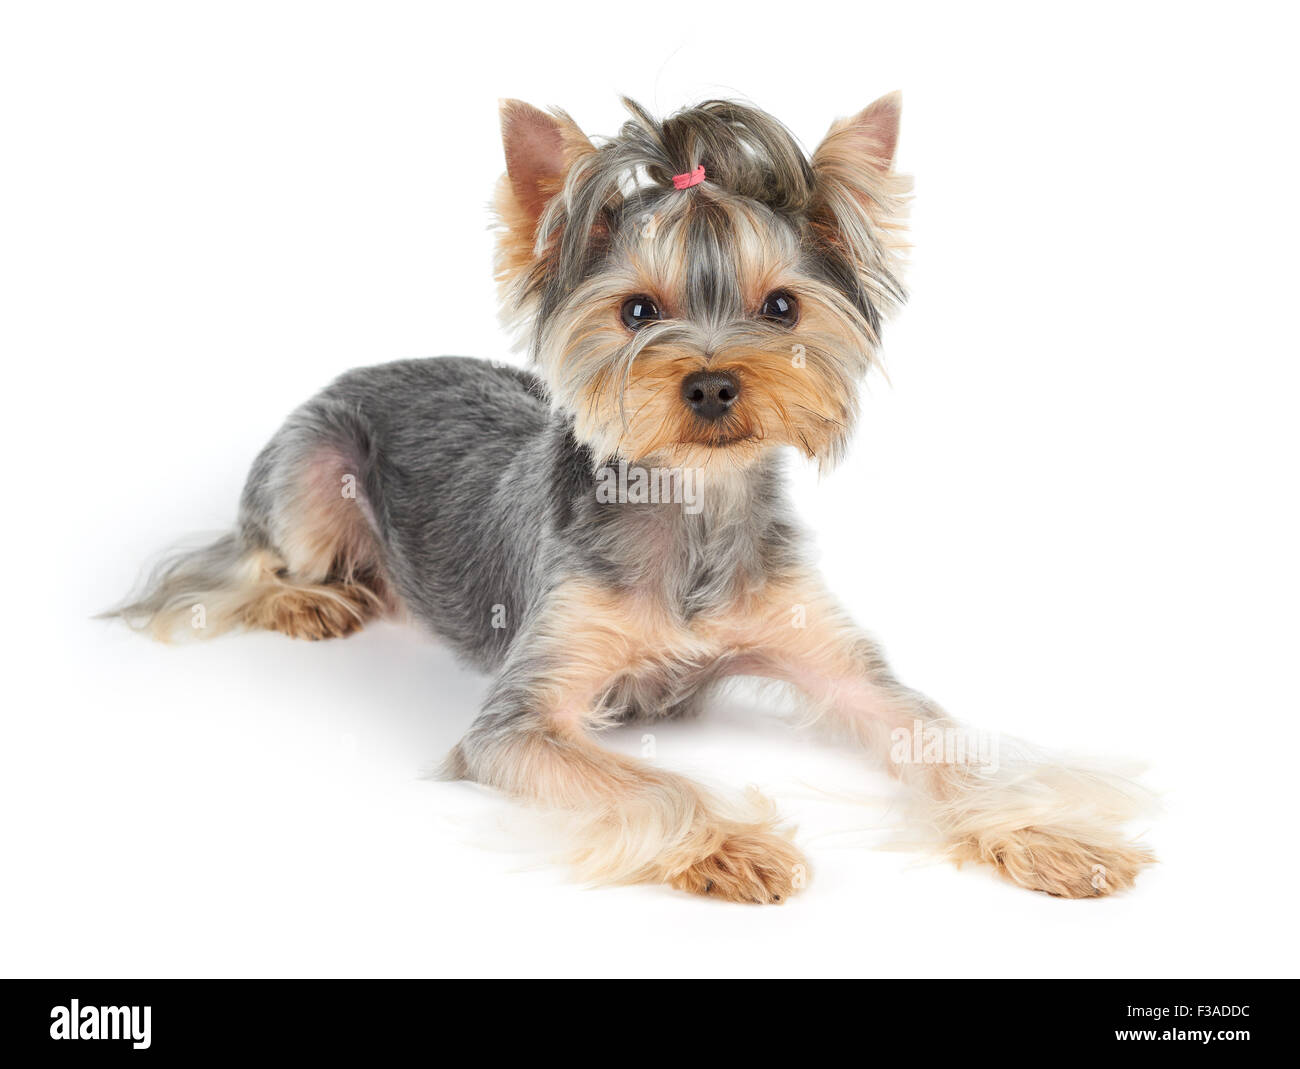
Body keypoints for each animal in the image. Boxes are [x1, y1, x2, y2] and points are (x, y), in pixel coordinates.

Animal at [106, 96, 1154, 905]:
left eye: (782, 306)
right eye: (637, 311)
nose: (712, 383)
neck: (689, 509)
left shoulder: (842, 664)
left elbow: (942, 739)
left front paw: (1049, 835)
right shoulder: (521, 721)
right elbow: (649, 784)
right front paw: (728, 844)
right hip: (312, 467)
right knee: (253, 559)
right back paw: (313, 600)